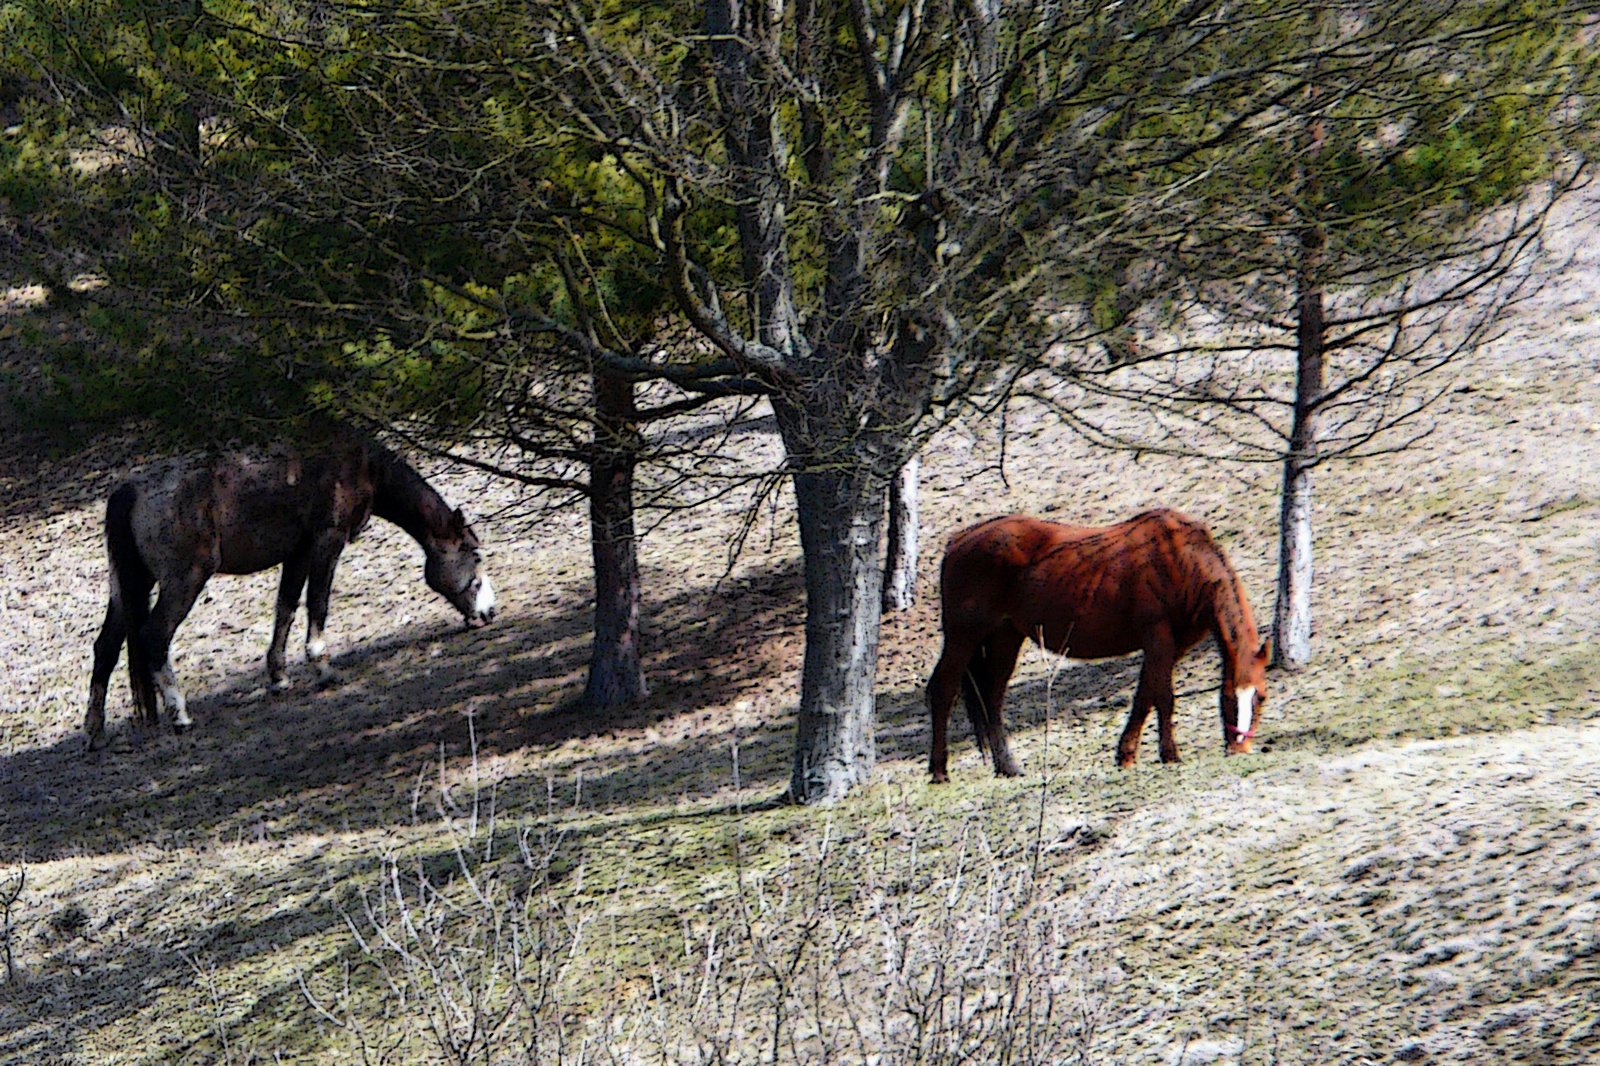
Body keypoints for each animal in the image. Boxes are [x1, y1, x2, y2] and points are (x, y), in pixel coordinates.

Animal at [84, 425, 496, 745]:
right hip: (184, 580)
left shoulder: (297, 553)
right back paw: (179, 713)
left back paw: (95, 732)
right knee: (155, 636)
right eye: (474, 555)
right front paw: (323, 667)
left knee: (105, 647)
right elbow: (317, 603)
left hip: (128, 587)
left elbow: (286, 608)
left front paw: (279, 676)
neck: (357, 463)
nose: (489, 611)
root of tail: (132, 491)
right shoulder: (326, 542)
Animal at [934, 505, 1267, 771]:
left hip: (1004, 638)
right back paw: (939, 772)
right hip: (963, 638)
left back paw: (1008, 767)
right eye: (1231, 696)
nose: (1240, 747)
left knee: (991, 698)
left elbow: (1144, 696)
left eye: (1261, 697)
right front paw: (1170, 754)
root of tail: (957, 540)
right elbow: (1163, 698)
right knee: (942, 690)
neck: (1179, 559)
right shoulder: (1158, 638)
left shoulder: (1172, 646)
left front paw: (1126, 755)